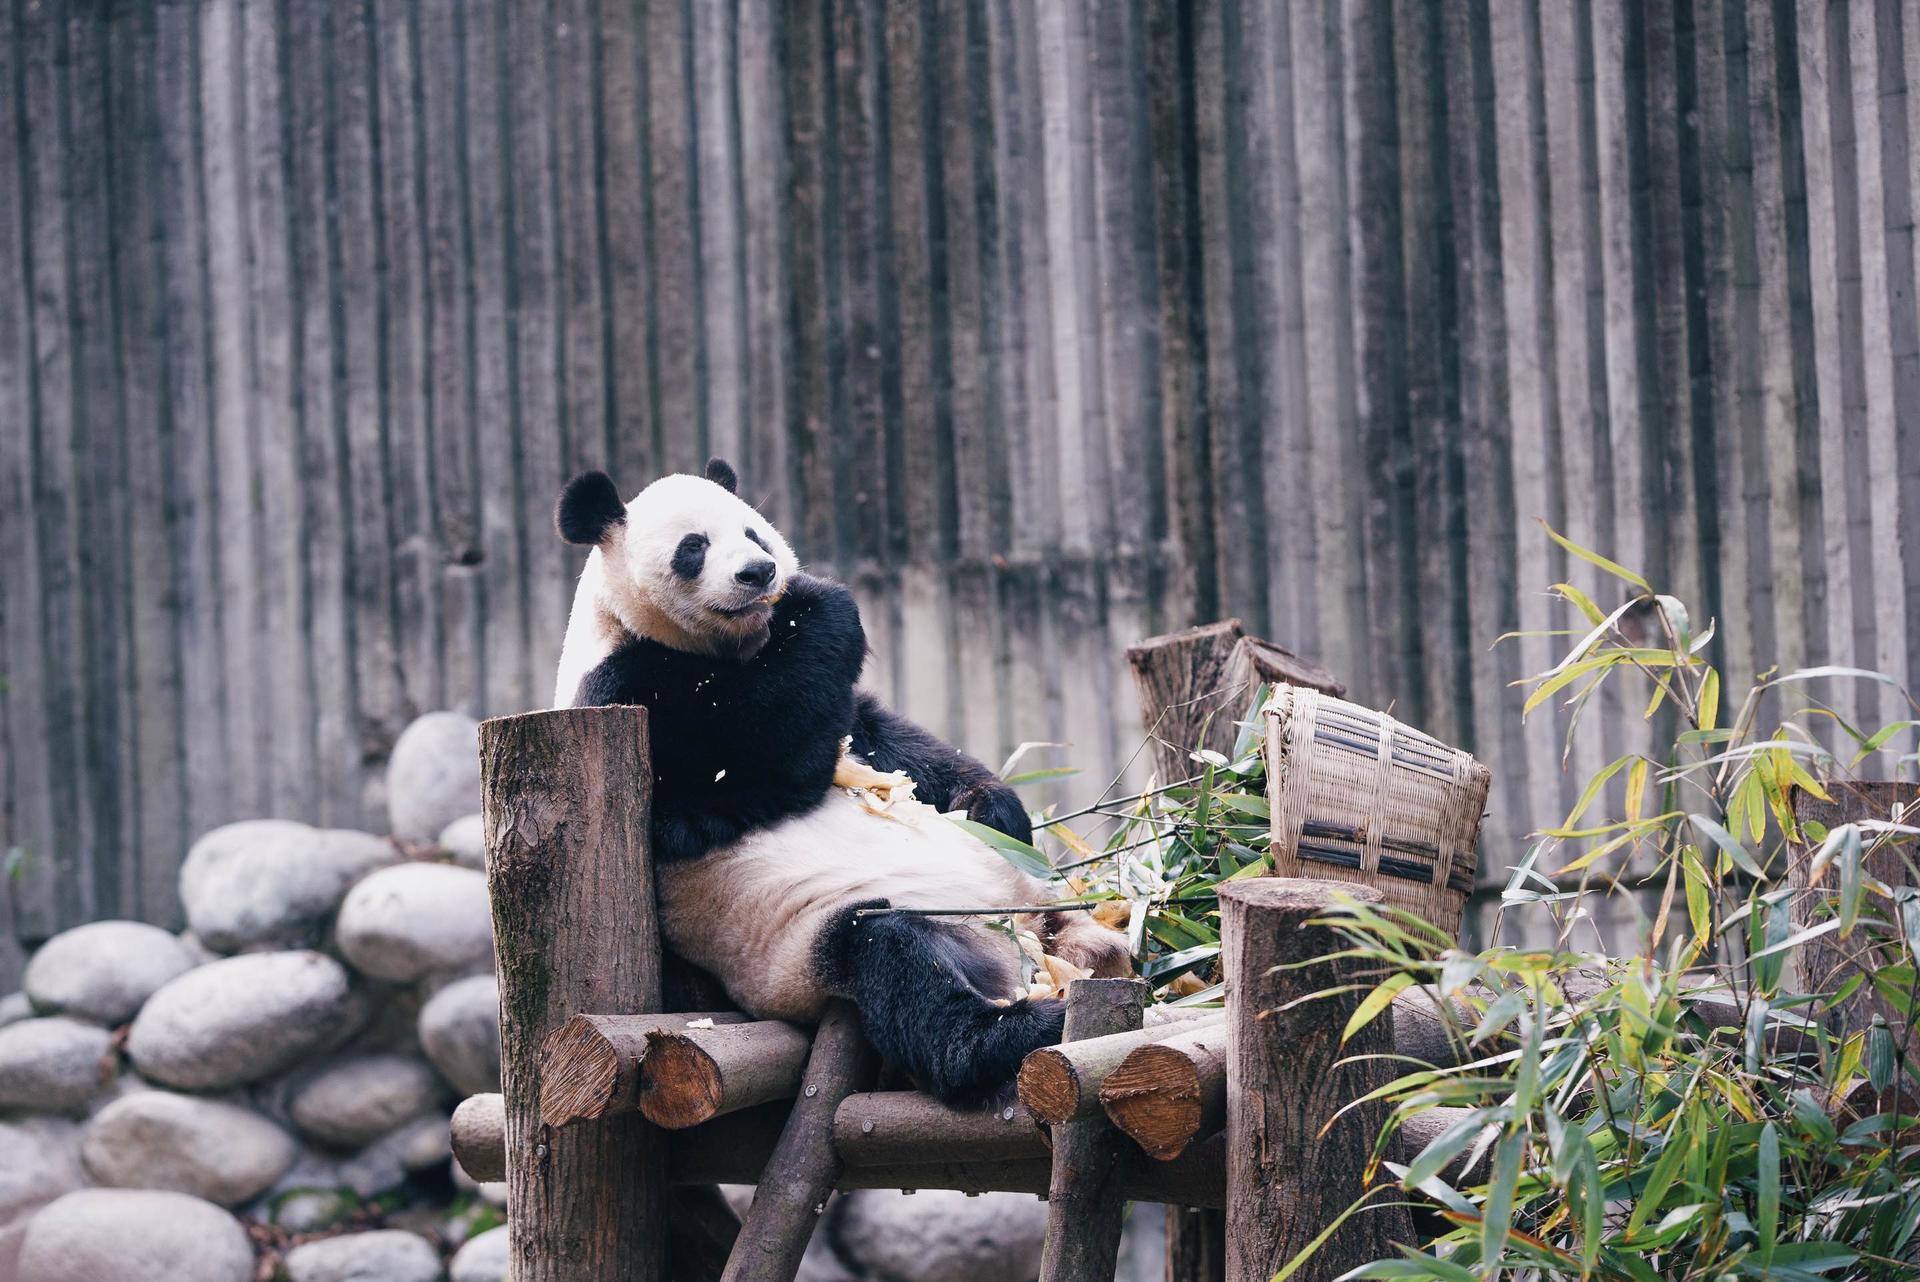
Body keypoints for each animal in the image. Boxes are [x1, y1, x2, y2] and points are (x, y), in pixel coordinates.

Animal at [552, 458, 1128, 1107]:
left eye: (754, 533)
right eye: (693, 547)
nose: (760, 572)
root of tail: (1025, 940)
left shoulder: (849, 719)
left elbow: (885, 744)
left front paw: (994, 811)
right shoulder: (628, 697)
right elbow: (749, 761)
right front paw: (819, 598)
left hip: (1047, 915)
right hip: (830, 940)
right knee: (897, 963)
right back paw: (1017, 1030)